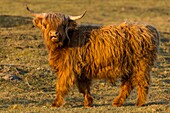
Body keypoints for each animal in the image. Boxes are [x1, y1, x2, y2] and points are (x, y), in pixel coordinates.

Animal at [26, 6, 159, 107]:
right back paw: (117, 102)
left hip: (141, 65)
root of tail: (150, 29)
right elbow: (83, 88)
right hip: (129, 67)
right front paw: (88, 102)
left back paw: (139, 103)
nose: (54, 34)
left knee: (142, 82)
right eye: (45, 24)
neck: (65, 43)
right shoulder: (80, 71)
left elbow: (61, 85)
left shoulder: (67, 69)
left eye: (63, 25)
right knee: (128, 84)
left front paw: (56, 103)